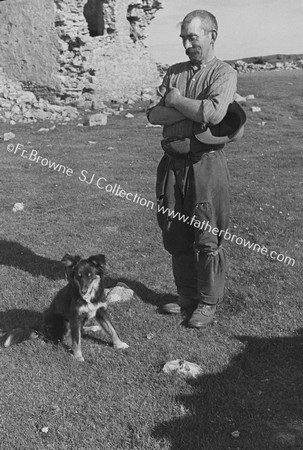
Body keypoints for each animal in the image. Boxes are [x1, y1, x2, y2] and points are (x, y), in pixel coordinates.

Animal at [0, 253, 128, 362]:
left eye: (90, 275)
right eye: (78, 276)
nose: (84, 291)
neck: (89, 298)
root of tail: (40, 329)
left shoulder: (100, 311)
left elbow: (112, 329)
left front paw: (119, 344)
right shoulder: (75, 317)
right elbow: (77, 340)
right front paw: (78, 356)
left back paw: (94, 327)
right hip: (62, 321)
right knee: (59, 338)